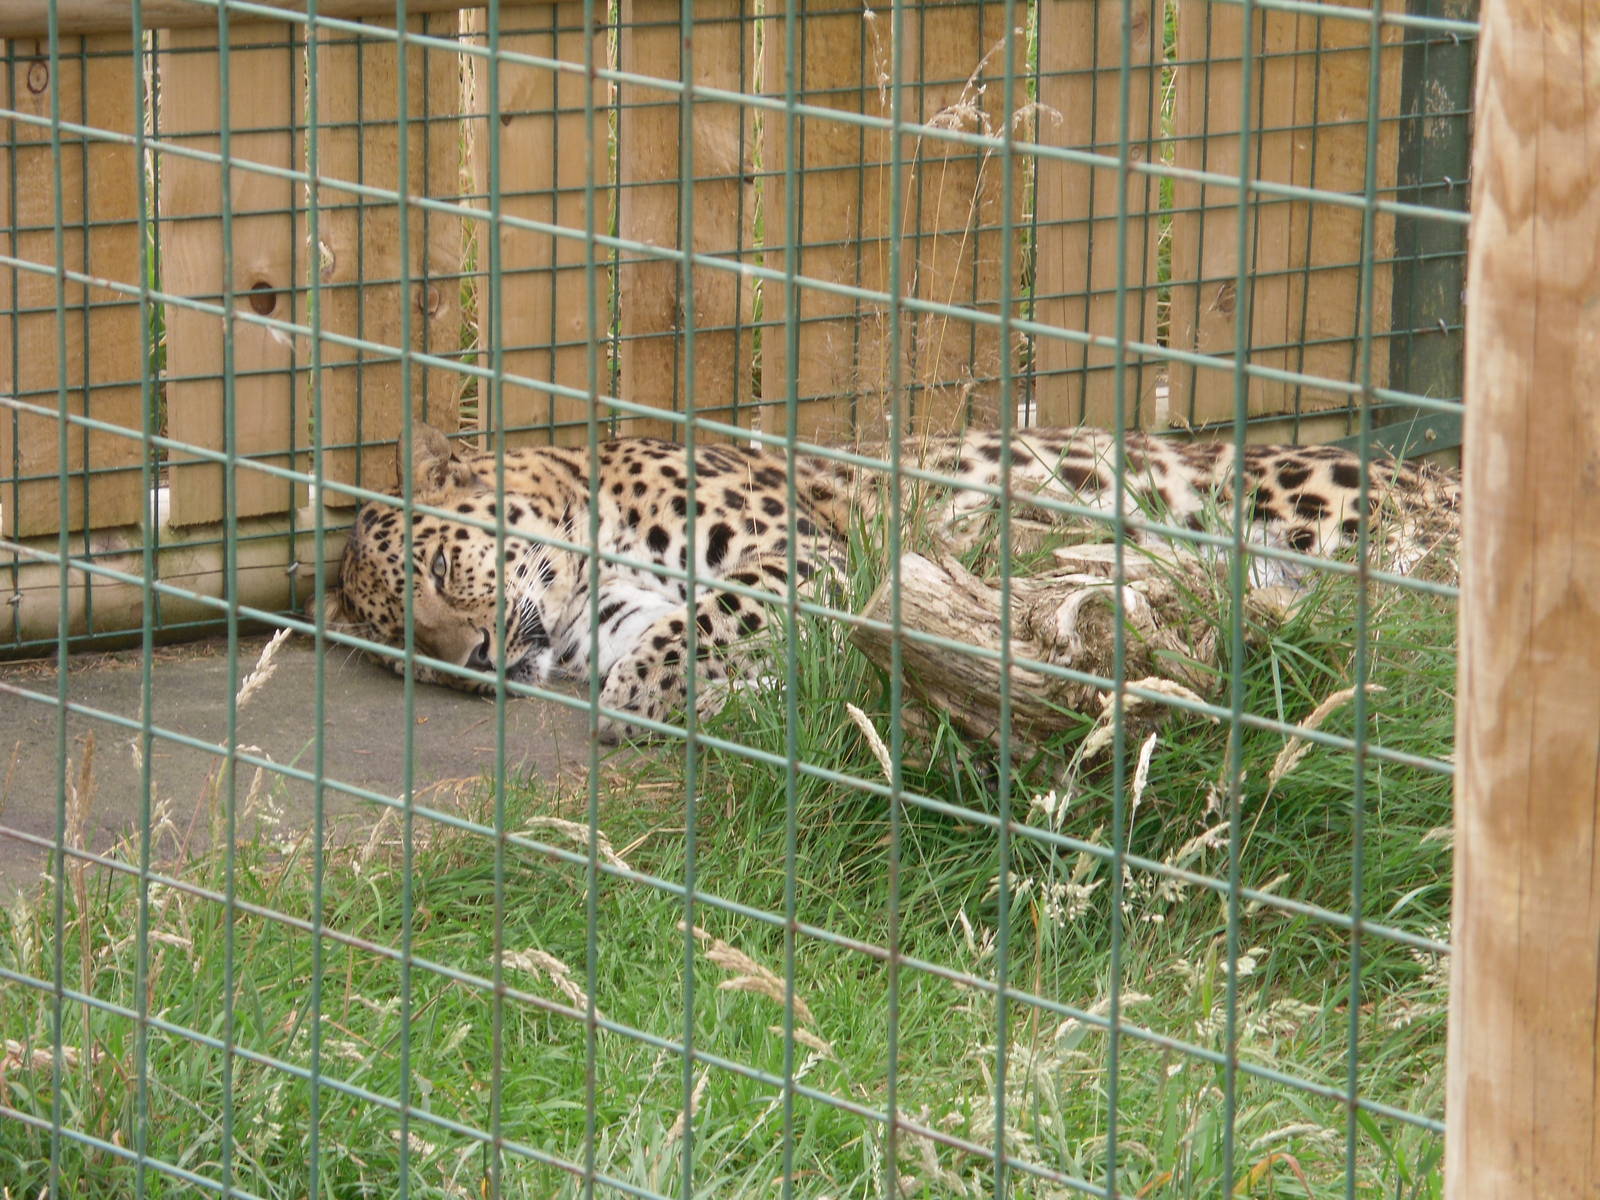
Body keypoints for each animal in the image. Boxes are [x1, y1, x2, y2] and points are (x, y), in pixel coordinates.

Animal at [320, 422, 1459, 743]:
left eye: (438, 565)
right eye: (403, 647)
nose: (469, 658)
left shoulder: (801, 552)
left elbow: (714, 613)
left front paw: (644, 694)